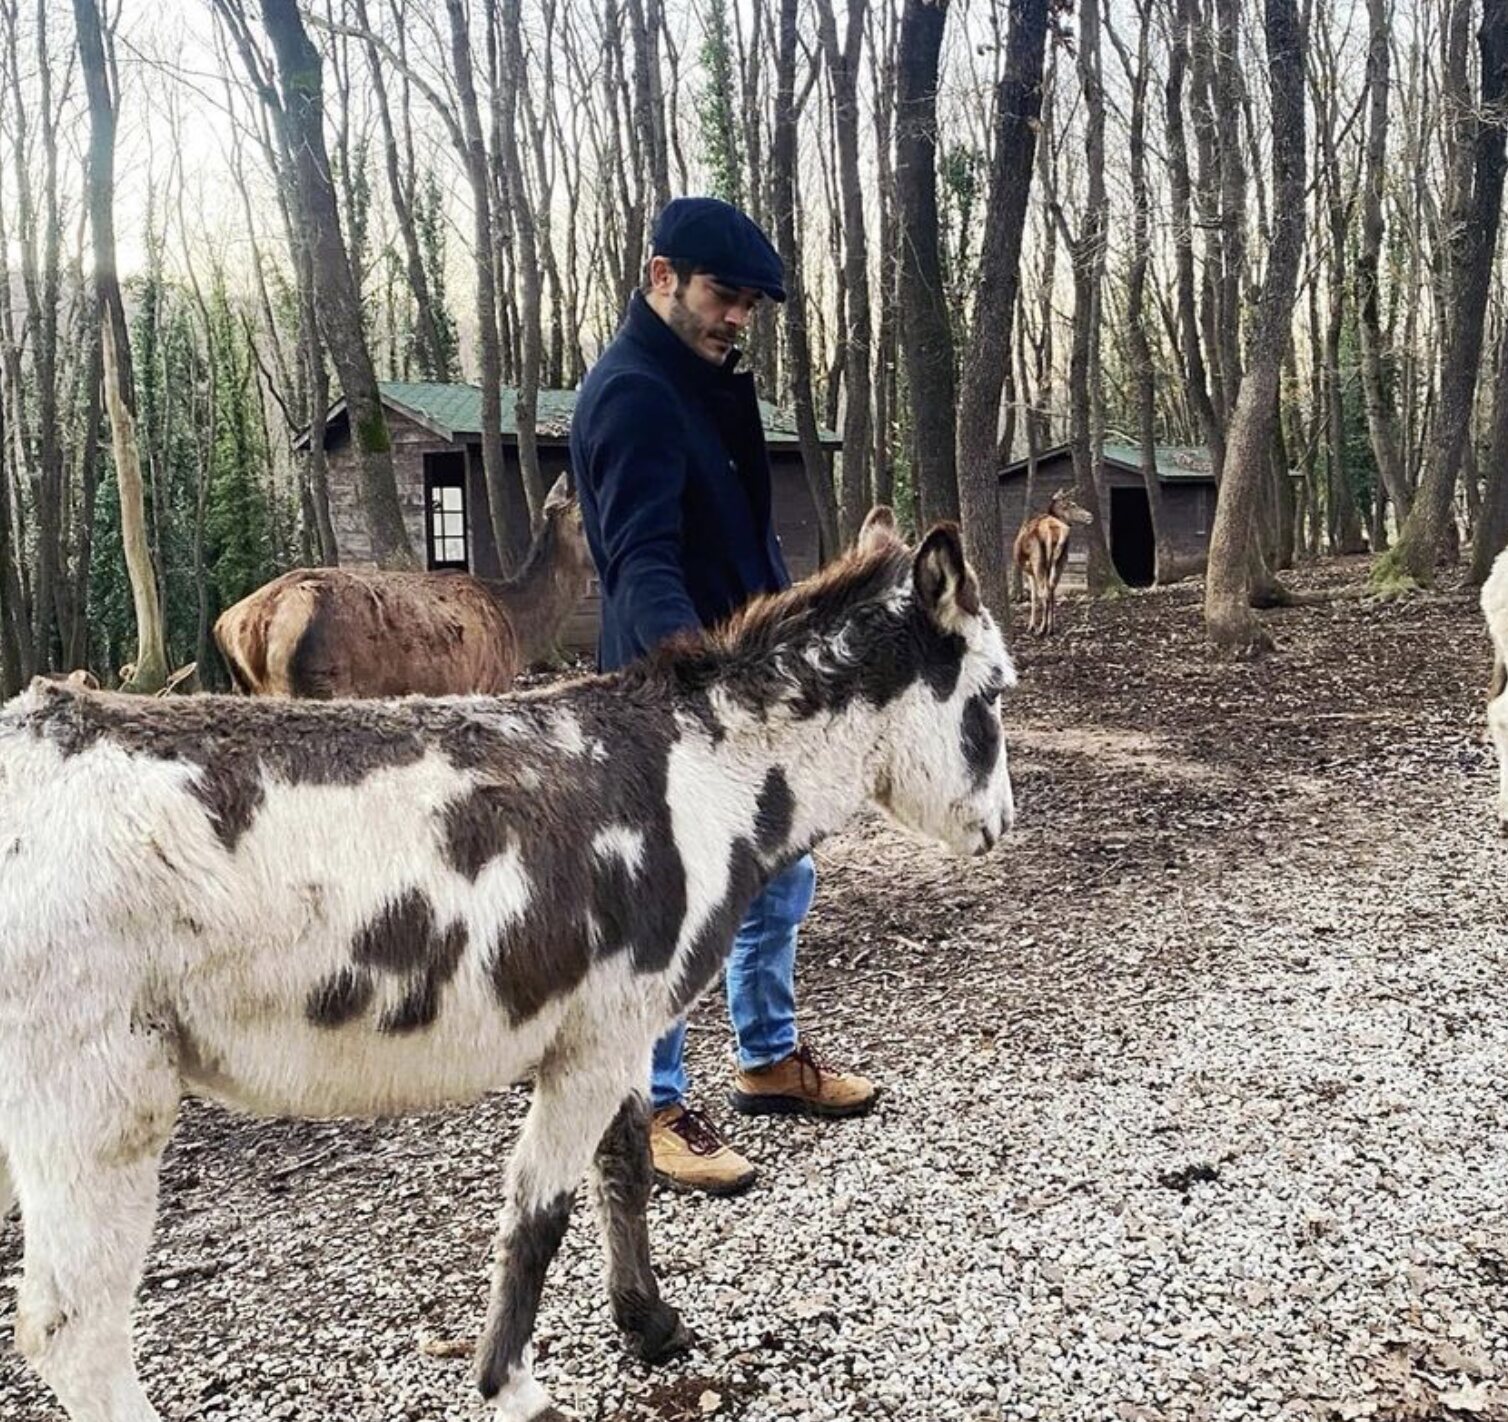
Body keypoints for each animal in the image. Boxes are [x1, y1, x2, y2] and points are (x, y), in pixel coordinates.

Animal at [1013, 494, 1097, 639]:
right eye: (1073, 505)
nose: (1090, 516)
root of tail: (1053, 530)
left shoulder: (1029, 571)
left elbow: (1033, 597)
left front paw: (1031, 626)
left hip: (1038, 562)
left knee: (1044, 593)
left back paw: (1041, 629)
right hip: (1060, 561)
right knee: (1052, 590)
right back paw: (1050, 628)